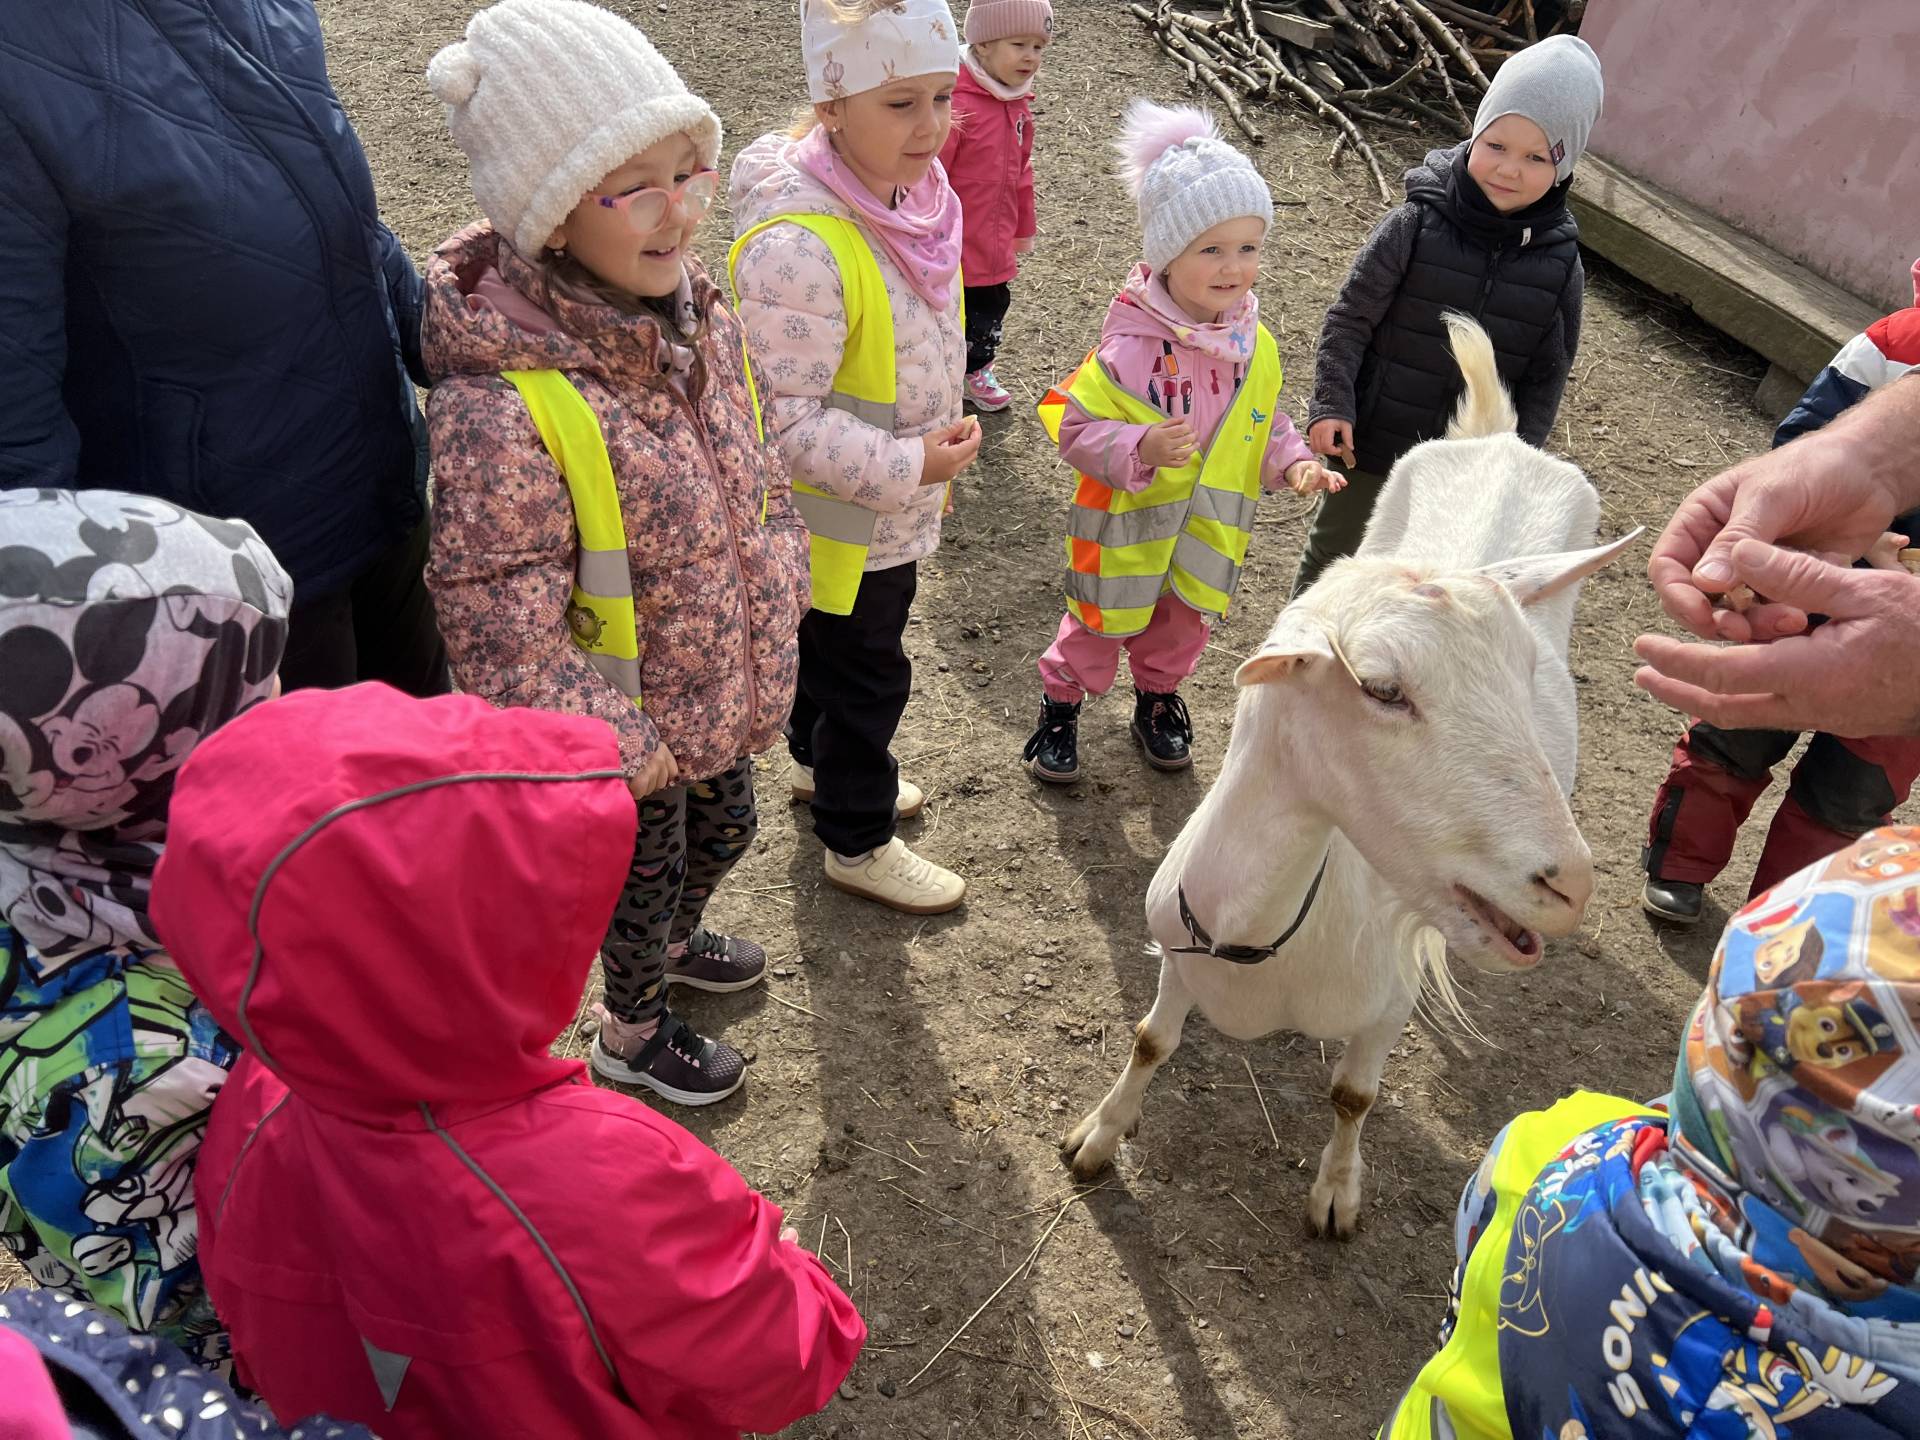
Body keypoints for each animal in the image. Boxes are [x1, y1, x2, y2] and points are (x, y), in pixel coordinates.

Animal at [1061, 314, 1638, 1238]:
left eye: (1526, 670)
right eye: (1381, 689)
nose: (1571, 885)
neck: (1265, 940)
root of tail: (1502, 438)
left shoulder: (1384, 1006)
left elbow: (1353, 1096)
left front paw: (1336, 1194)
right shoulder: (1176, 953)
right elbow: (1152, 1041)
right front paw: (1099, 1137)